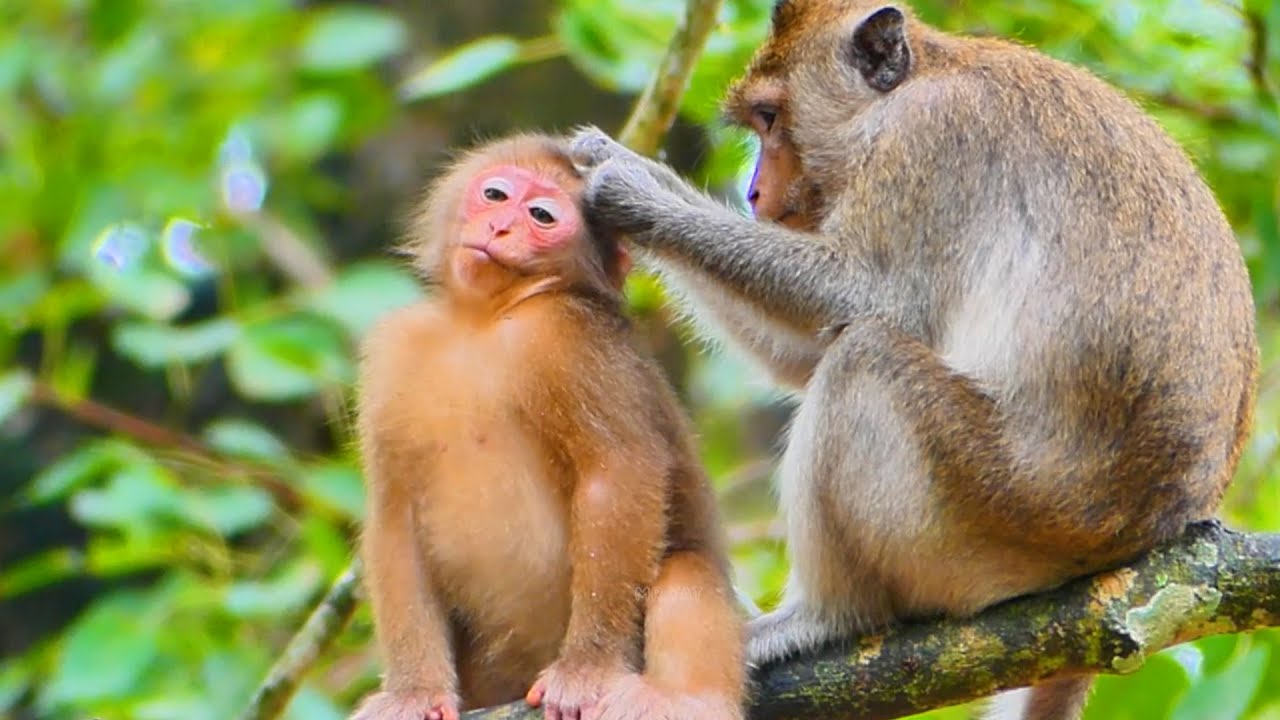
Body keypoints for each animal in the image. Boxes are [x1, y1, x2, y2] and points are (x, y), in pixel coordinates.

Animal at [348, 134, 745, 720]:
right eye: (495, 195)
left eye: (541, 216)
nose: (499, 227)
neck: (484, 323)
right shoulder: (395, 349)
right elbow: (396, 515)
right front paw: (412, 692)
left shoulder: (570, 336)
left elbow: (617, 473)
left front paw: (587, 669)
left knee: (685, 573)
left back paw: (688, 701)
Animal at [566, 1, 1259, 718]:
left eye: (770, 118)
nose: (755, 192)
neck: (921, 78)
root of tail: (1143, 537)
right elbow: (807, 351)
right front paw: (618, 159)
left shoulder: (929, 143)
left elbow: (867, 297)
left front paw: (633, 190)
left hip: (991, 516)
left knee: (864, 359)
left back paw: (828, 616)